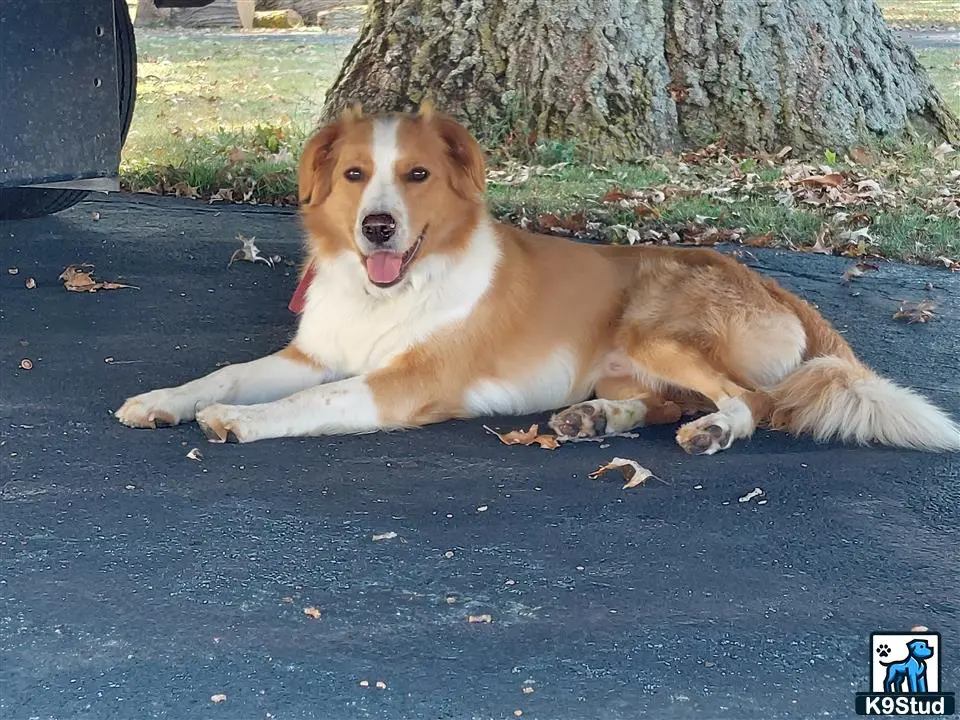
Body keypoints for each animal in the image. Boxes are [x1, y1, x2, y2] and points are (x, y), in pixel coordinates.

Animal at [118, 104, 960, 452]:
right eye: (355, 175)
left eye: (417, 175)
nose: (378, 227)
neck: (389, 291)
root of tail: (778, 287)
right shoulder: (312, 355)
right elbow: (227, 373)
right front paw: (164, 400)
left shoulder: (400, 383)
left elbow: (308, 403)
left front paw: (244, 423)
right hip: (628, 363)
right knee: (665, 402)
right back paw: (597, 419)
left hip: (655, 329)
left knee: (748, 401)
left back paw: (714, 430)